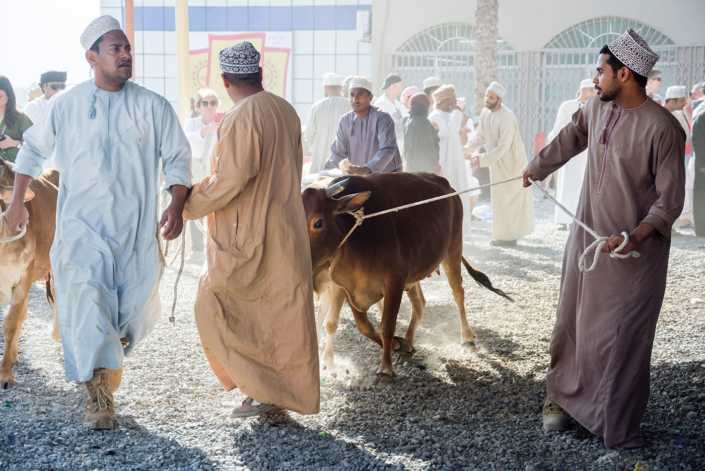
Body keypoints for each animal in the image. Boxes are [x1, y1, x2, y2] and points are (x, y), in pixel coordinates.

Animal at [300, 173, 508, 380]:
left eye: (319, 222)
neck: (356, 235)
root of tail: (448, 187)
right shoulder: (347, 286)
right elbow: (364, 326)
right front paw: (397, 345)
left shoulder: (395, 278)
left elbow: (386, 327)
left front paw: (385, 369)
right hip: (414, 271)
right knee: (419, 303)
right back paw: (408, 342)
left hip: (452, 252)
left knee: (458, 294)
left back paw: (467, 339)